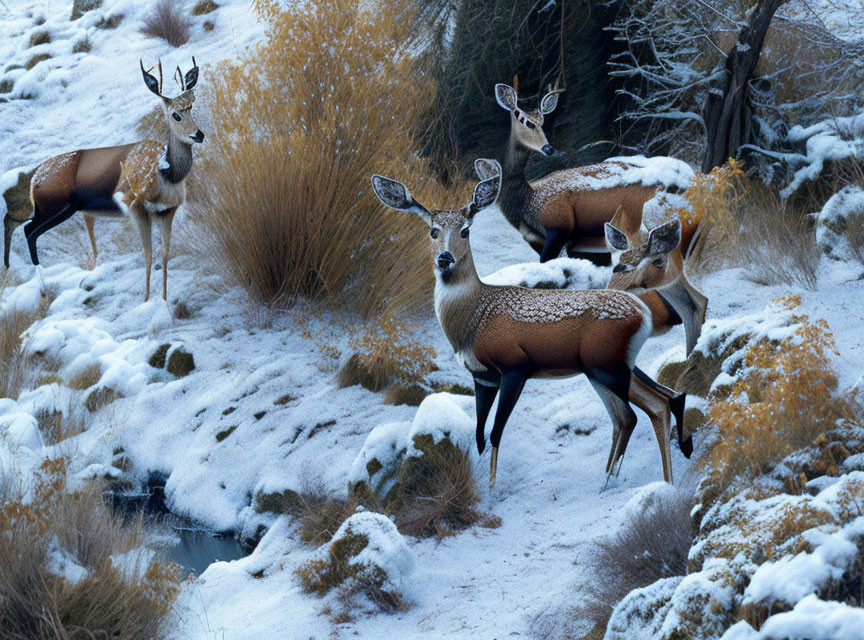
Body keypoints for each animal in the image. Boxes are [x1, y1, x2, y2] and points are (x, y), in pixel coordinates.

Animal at [13, 58, 204, 302]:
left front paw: (163, 299)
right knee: (29, 231)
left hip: (50, 208)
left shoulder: (166, 211)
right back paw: (44, 287)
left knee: (28, 228)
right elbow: (148, 253)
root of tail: (35, 181)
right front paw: (145, 300)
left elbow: (164, 253)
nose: (198, 134)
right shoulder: (135, 207)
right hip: (56, 206)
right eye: (176, 115)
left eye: (191, 109)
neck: (167, 173)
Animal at [368, 161, 692, 490]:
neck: (475, 317)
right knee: (646, 407)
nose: (445, 259)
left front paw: (492, 489)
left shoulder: (515, 365)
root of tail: (643, 313)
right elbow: (479, 435)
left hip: (607, 365)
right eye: (433, 231)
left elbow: (495, 433)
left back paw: (650, 480)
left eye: (465, 230)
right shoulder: (482, 376)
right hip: (604, 367)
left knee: (648, 408)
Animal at [482, 80, 712, 356]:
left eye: (541, 120)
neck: (529, 202)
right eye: (524, 119)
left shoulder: (558, 230)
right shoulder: (573, 245)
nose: (548, 147)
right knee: (690, 302)